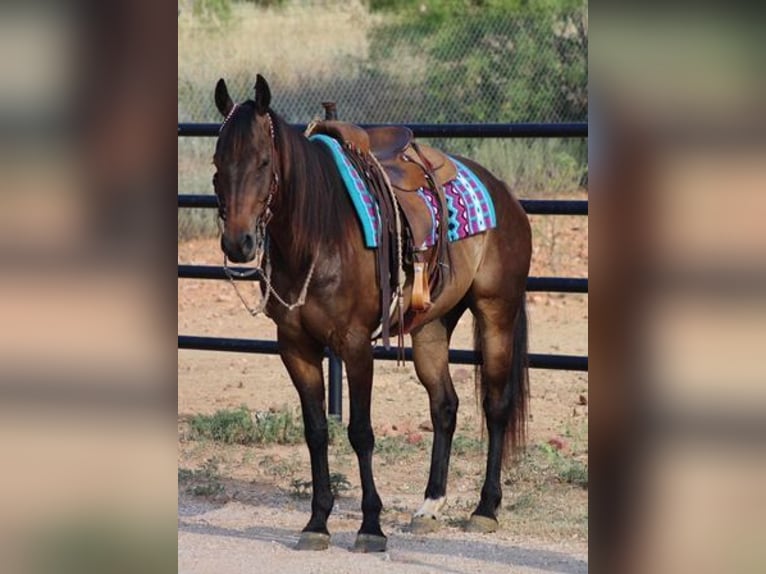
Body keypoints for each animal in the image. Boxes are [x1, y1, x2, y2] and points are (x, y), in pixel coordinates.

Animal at [212, 75, 536, 552]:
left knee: (495, 406)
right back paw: (429, 506)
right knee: (445, 406)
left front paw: (370, 526)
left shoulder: (354, 344)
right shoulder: (295, 347)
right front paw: (317, 522)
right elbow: (316, 431)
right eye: (218, 161)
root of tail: (504, 192)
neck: (318, 231)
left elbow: (360, 433)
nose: (239, 243)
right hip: (432, 325)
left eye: (263, 161)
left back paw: (485, 509)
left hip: (496, 312)